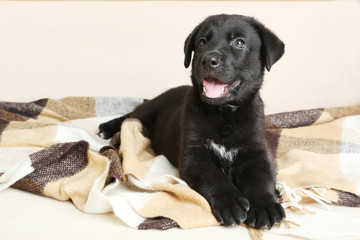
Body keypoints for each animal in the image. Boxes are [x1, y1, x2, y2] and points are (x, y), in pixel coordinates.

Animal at [97, 14, 286, 228]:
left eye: (239, 43)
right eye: (202, 42)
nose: (209, 60)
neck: (224, 114)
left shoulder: (256, 153)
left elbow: (260, 180)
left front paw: (266, 205)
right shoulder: (194, 157)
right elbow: (214, 177)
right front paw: (230, 201)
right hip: (146, 111)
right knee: (129, 117)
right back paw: (107, 127)